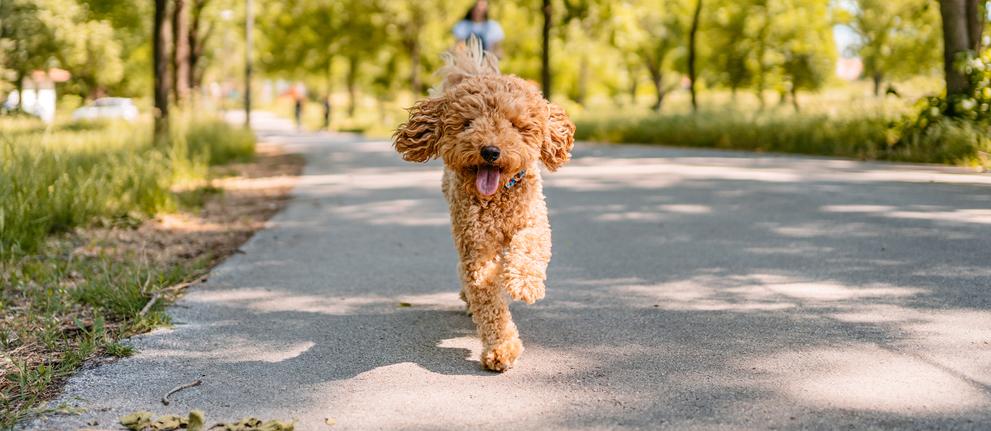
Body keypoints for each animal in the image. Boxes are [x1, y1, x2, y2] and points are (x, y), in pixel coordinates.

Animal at [396, 38, 576, 372]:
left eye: (516, 125)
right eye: (468, 124)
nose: (490, 151)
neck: (498, 199)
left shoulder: (534, 221)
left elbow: (530, 248)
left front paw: (524, 283)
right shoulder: (477, 249)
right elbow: (489, 300)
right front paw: (501, 348)